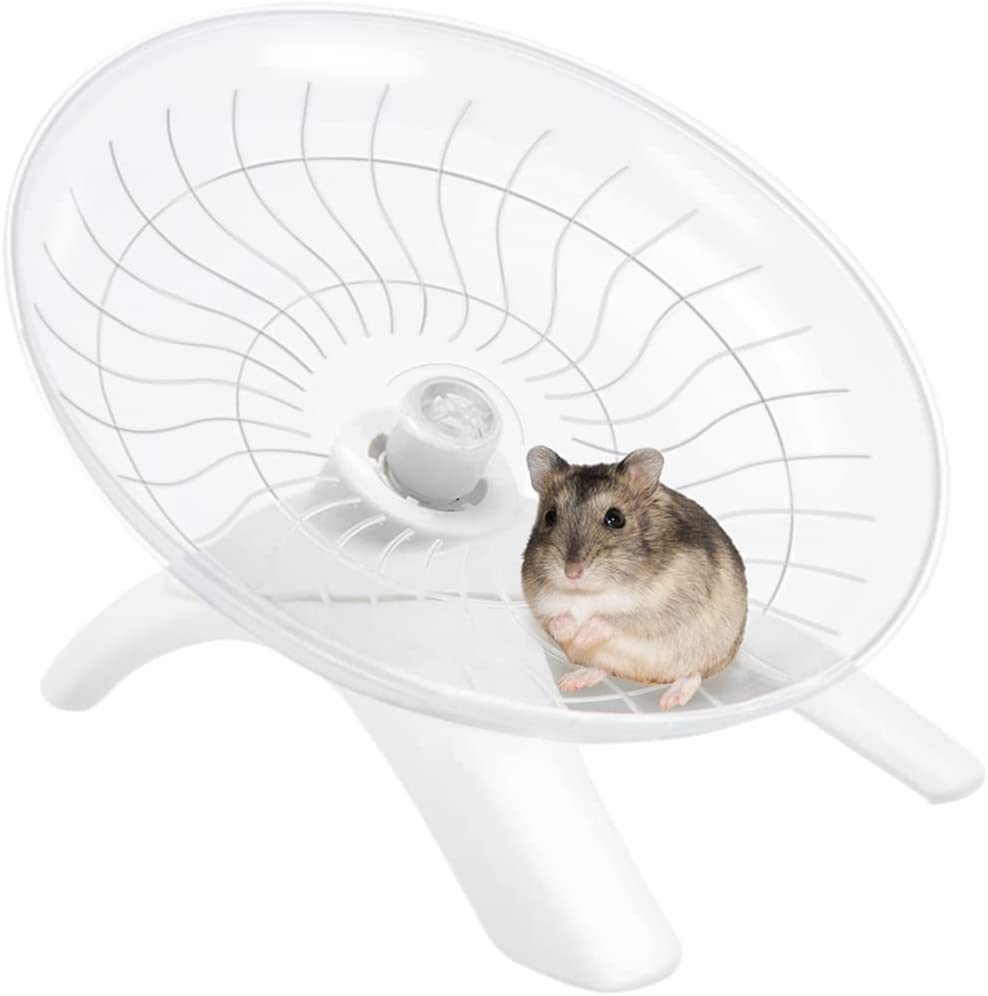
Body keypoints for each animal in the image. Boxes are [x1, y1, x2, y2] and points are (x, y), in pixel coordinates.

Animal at [521, 446, 747, 710]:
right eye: (550, 516)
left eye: (615, 518)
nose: (572, 572)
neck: (587, 592)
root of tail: (647, 679)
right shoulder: (538, 603)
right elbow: (554, 619)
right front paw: (569, 632)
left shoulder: (659, 607)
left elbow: (613, 619)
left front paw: (582, 634)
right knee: (602, 669)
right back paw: (570, 682)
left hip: (708, 651)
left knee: (692, 674)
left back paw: (669, 701)